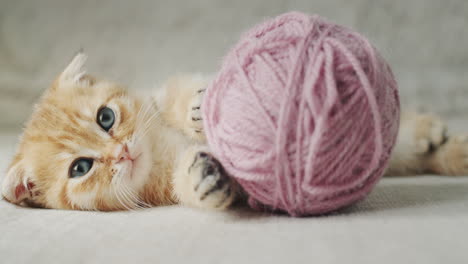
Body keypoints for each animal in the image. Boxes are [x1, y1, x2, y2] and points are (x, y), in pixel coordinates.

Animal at [2, 53, 468, 210]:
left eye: (105, 118)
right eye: (80, 168)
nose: (122, 153)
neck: (158, 149)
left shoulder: (160, 94)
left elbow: (178, 92)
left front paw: (199, 106)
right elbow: (187, 183)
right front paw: (201, 178)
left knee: (401, 137)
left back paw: (434, 131)